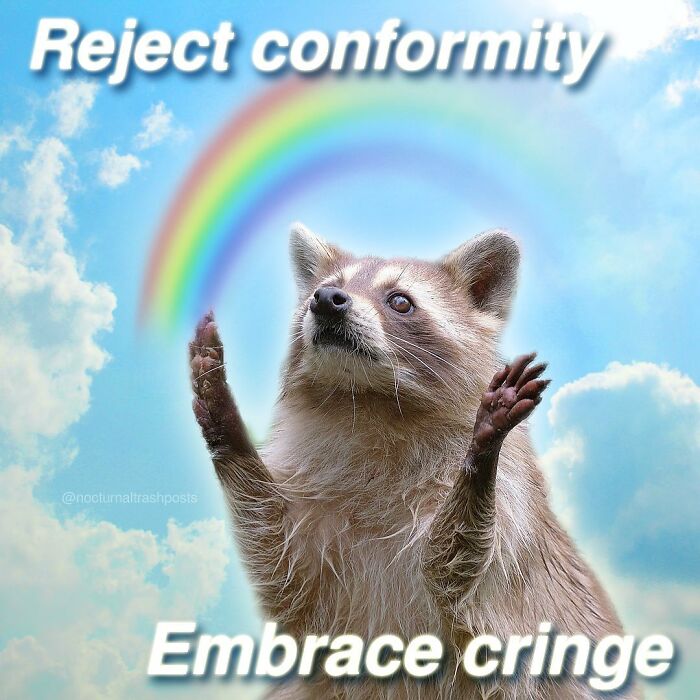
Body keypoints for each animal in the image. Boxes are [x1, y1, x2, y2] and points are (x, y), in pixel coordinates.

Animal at [190, 225, 631, 699]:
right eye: (328, 286)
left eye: (400, 301)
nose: (325, 299)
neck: (369, 405)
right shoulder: (306, 522)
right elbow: (272, 552)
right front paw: (227, 427)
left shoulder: (511, 531)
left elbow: (458, 564)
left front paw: (480, 460)